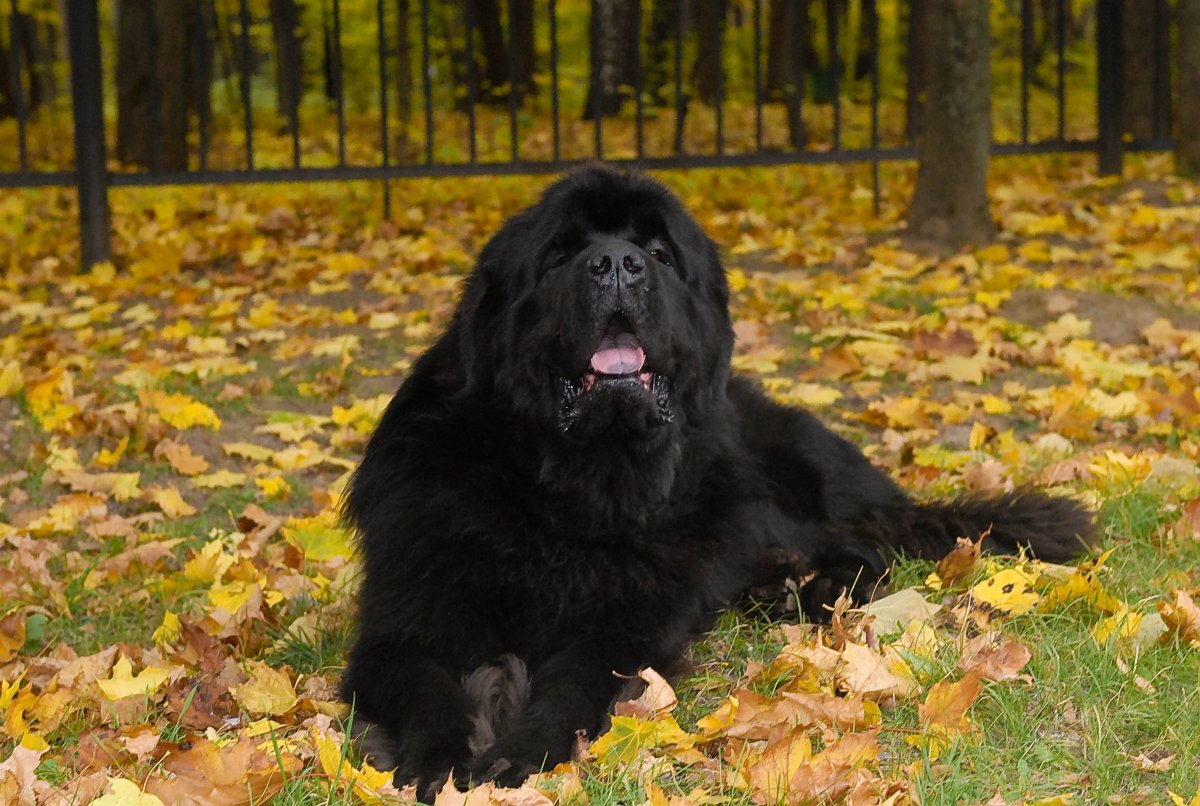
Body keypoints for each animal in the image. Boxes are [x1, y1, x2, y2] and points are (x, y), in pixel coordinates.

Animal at [340, 166, 1099, 796]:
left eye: (658, 252)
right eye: (558, 256)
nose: (617, 264)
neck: (573, 487)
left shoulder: (627, 625)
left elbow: (575, 680)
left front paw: (518, 751)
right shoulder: (402, 621)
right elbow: (423, 684)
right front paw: (436, 758)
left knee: (863, 549)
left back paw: (812, 588)